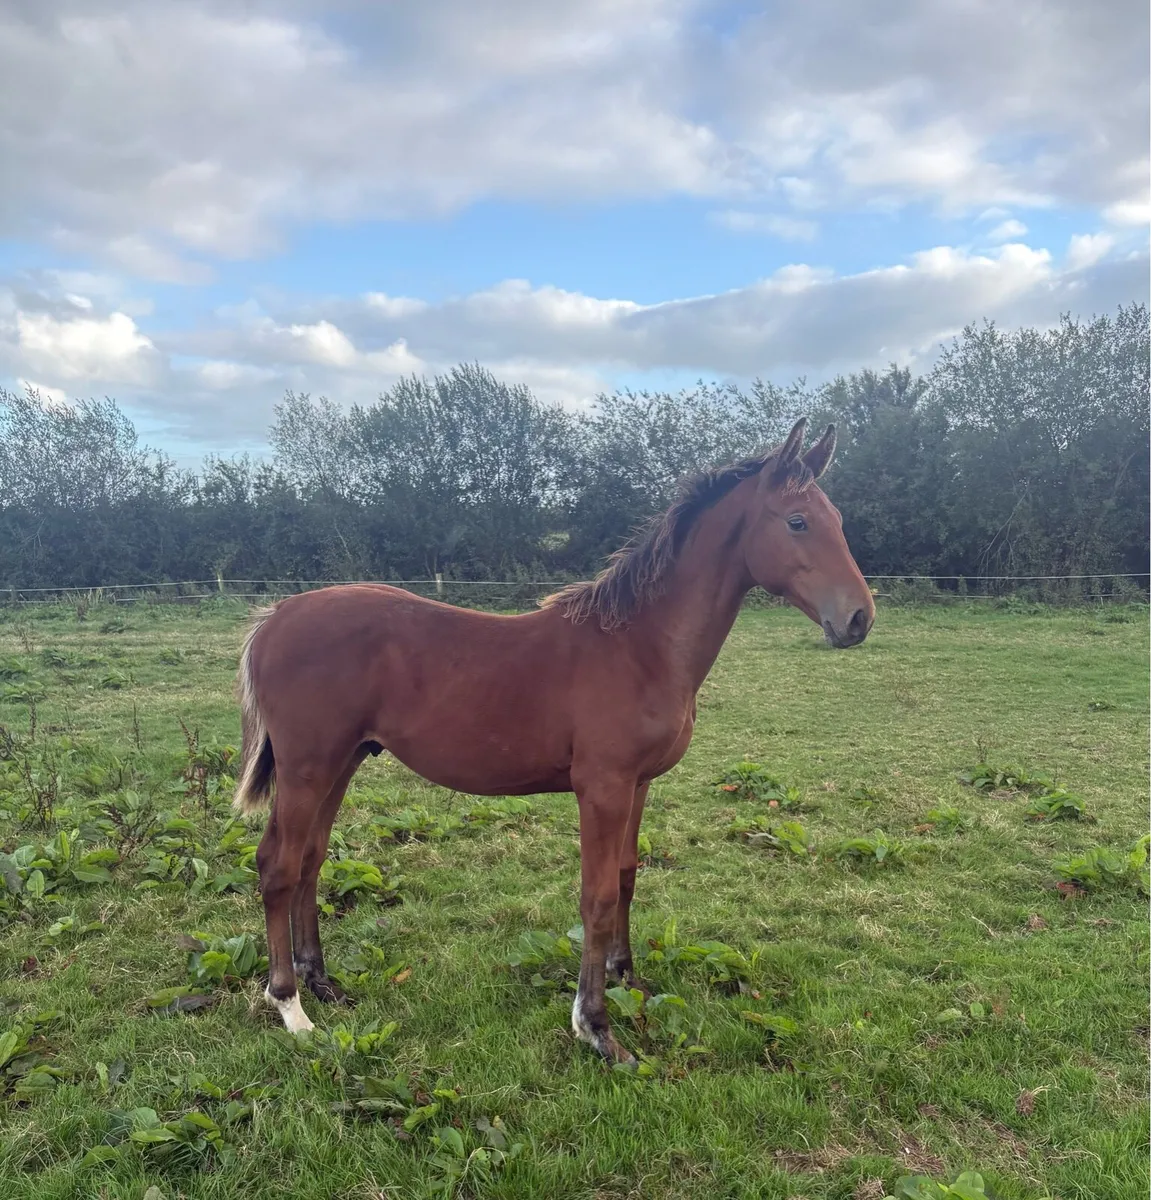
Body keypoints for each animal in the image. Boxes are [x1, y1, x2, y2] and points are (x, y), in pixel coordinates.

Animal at [233, 417, 874, 1064]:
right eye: (797, 521)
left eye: (838, 518)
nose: (858, 619)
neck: (640, 646)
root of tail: (275, 617)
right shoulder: (602, 788)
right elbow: (596, 897)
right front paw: (597, 1028)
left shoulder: (638, 785)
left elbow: (626, 878)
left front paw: (627, 979)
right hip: (308, 767)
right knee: (278, 864)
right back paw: (290, 1006)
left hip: (342, 762)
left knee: (310, 860)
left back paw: (322, 982)